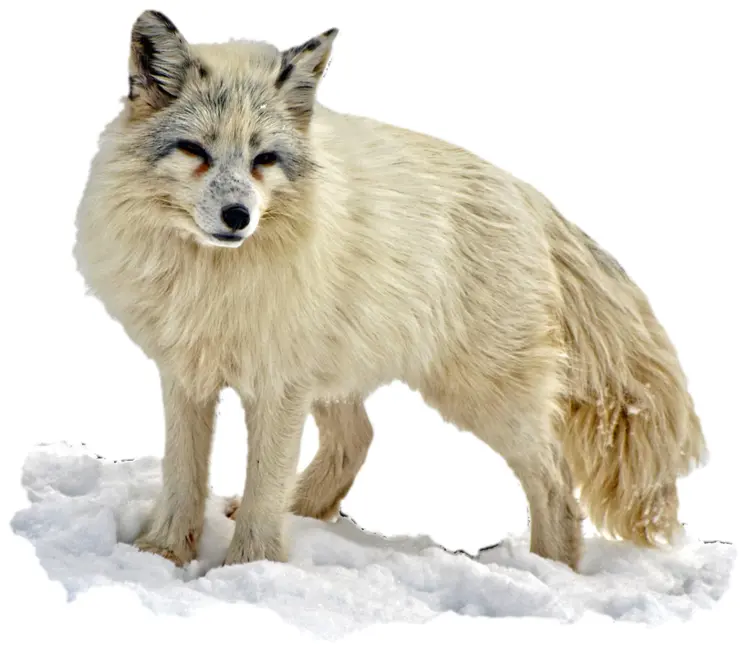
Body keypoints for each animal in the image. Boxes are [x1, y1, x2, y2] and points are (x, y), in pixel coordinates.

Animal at [73, 10, 707, 571]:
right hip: (344, 378)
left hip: (481, 396)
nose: (237, 217)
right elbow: (183, 475)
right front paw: (162, 554)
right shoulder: (188, 374)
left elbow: (264, 486)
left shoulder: (277, 385)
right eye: (195, 151)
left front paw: (248, 569)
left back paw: (550, 572)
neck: (214, 279)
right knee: (359, 439)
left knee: (555, 483)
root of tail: (527, 195)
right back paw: (304, 512)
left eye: (264, 159)